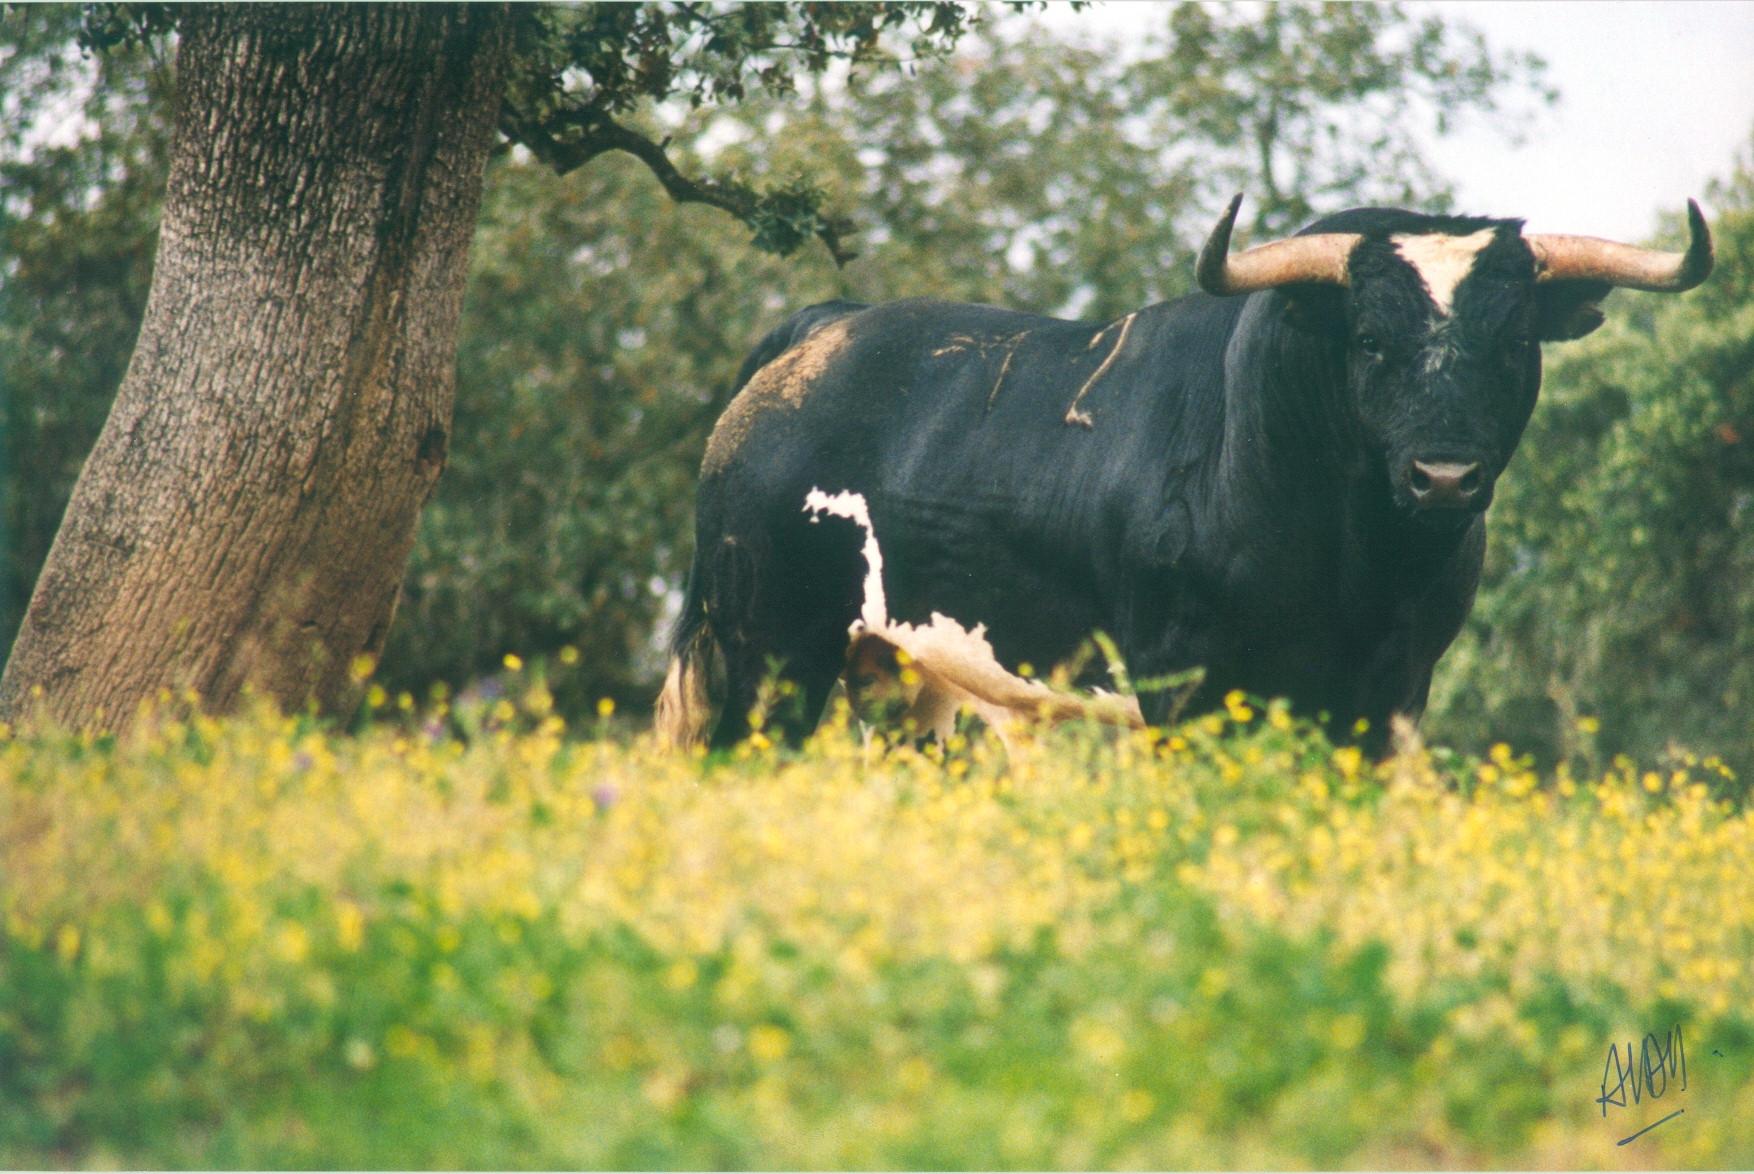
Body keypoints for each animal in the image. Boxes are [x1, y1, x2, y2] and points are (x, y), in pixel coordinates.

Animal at [659, 195, 1711, 747]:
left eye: (1515, 344)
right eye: (1369, 339)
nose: (1444, 476)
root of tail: (822, 330)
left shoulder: (1394, 692)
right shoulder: (1183, 684)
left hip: (904, 680)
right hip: (764, 655)